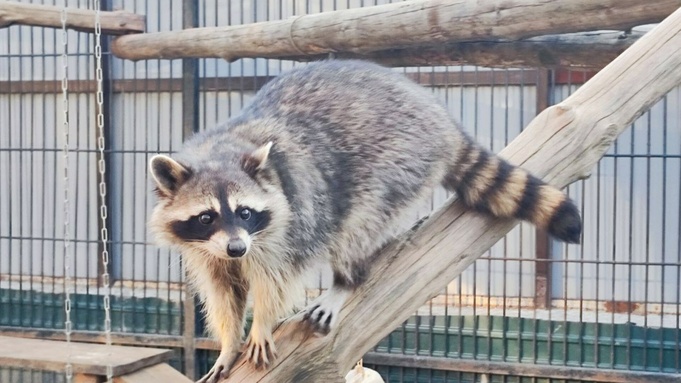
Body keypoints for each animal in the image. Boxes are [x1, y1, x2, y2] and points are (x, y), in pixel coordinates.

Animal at [147, 60, 580, 383]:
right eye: (206, 217)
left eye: (245, 212)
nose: (237, 248)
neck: (220, 149)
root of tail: (438, 118)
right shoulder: (206, 249)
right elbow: (222, 291)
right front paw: (228, 342)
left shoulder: (289, 224)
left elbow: (276, 278)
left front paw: (262, 324)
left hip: (398, 159)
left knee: (357, 226)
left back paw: (345, 280)